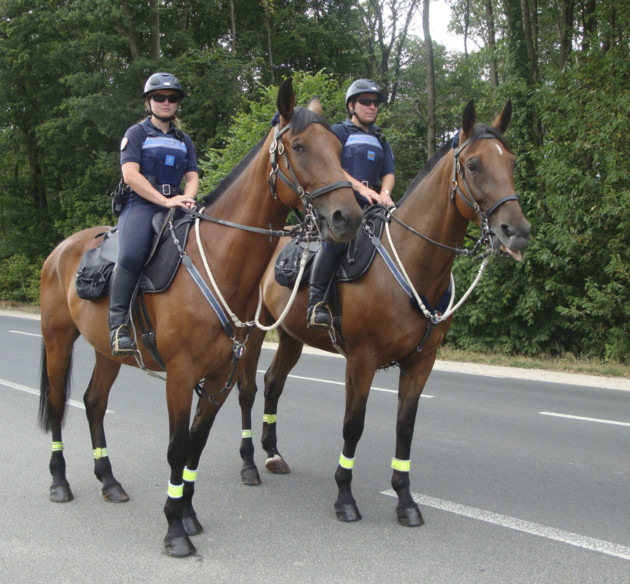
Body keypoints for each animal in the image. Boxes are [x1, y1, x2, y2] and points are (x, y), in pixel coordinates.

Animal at [38, 78, 366, 556]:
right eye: (301, 147)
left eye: (339, 148)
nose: (349, 217)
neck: (220, 260)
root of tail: (61, 249)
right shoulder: (180, 375)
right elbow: (177, 447)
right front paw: (174, 530)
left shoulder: (220, 377)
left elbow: (196, 443)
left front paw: (187, 513)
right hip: (58, 339)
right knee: (61, 404)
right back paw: (60, 482)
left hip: (107, 352)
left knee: (94, 404)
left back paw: (109, 480)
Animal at [235, 101, 532, 528]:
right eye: (474, 164)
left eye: (510, 161)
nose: (518, 231)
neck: (410, 262)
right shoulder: (361, 360)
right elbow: (353, 425)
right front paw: (344, 496)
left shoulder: (421, 362)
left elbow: (405, 428)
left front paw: (405, 499)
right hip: (254, 332)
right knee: (248, 389)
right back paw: (248, 464)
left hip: (291, 336)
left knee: (274, 383)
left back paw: (273, 453)